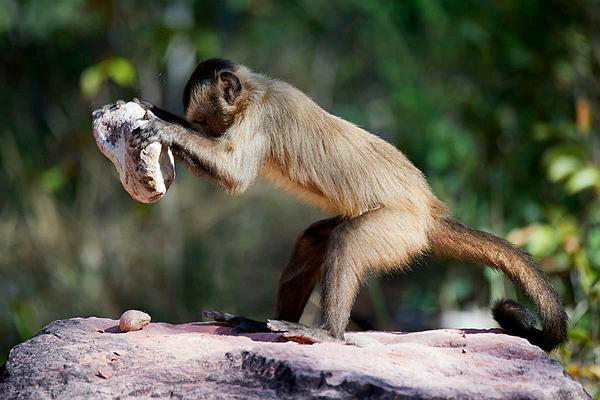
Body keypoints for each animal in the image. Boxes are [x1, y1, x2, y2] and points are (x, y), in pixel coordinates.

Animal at [129, 57, 568, 352]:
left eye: (204, 125)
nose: (196, 129)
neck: (257, 90)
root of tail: (429, 210)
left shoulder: (261, 116)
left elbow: (234, 175)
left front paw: (165, 128)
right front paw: (151, 112)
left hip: (399, 227)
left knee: (350, 240)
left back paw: (327, 333)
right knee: (313, 239)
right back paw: (258, 323)